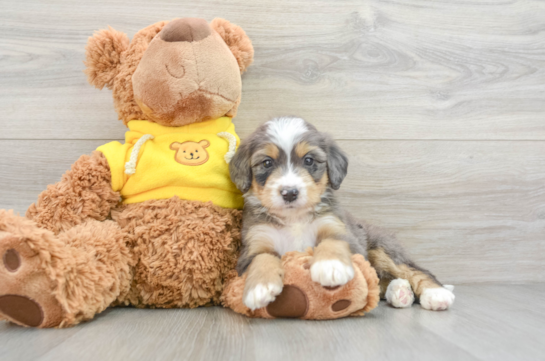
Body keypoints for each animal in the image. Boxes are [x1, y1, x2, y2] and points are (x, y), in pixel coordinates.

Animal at [230, 116, 454, 310]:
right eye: (267, 163)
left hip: (382, 248)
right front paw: (259, 288)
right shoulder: (254, 243)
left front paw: (330, 267)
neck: (294, 219)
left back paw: (436, 293)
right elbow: (262, 259)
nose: (290, 193)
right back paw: (400, 292)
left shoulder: (339, 228)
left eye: (309, 160)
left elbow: (333, 241)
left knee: (414, 270)